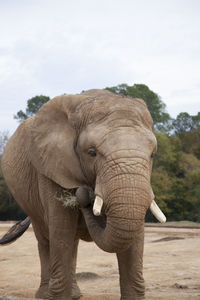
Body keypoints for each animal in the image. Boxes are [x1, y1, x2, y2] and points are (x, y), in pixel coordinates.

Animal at [0, 89, 166, 300]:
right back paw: (45, 295)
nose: (84, 194)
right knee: (46, 238)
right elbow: (61, 231)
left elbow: (134, 238)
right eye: (92, 153)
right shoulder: (51, 166)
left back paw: (75, 294)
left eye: (153, 154)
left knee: (72, 242)